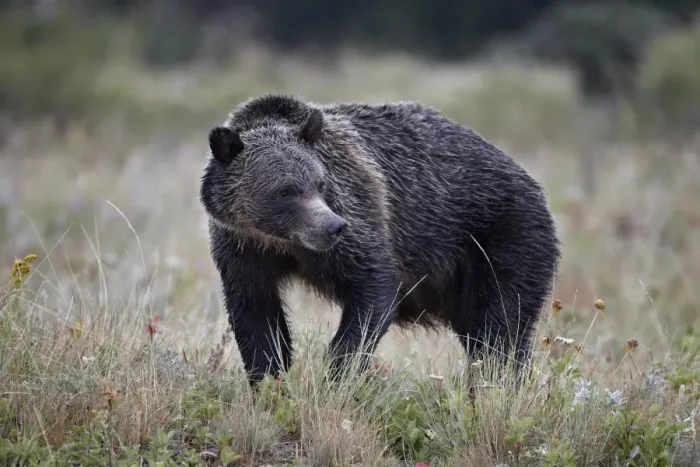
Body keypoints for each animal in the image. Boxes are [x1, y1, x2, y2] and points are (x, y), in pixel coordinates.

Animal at [199, 93, 561, 386]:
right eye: (285, 190)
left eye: (319, 183)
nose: (333, 226)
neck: (280, 241)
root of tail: (532, 182)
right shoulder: (243, 250)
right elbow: (256, 317)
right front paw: (270, 381)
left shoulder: (357, 209)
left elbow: (374, 283)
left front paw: (338, 376)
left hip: (501, 238)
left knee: (501, 328)